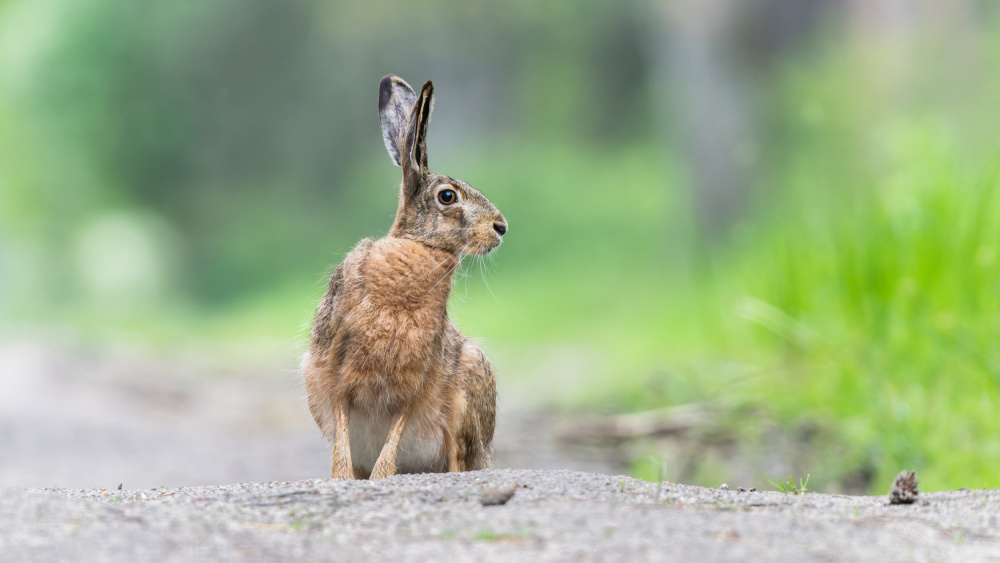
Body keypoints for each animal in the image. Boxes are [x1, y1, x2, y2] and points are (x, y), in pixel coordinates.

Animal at [302, 75, 507, 480]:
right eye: (447, 196)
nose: (501, 227)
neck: (418, 248)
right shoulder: (336, 372)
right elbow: (343, 436)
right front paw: (343, 479)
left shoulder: (414, 381)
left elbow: (395, 433)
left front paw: (381, 477)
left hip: (470, 387)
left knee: (459, 459)